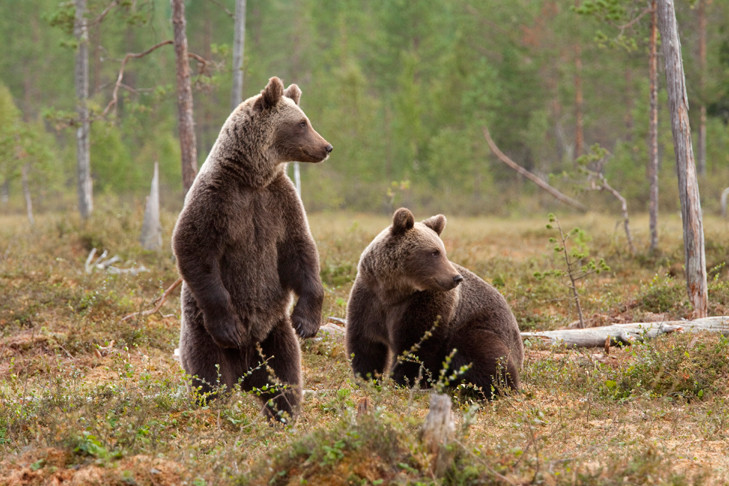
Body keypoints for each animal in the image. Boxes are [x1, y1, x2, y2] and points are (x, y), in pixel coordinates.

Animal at [172, 76, 332, 422]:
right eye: (302, 123)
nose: (327, 147)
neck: (252, 177)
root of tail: (247, 372)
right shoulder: (217, 199)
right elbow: (194, 248)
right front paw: (229, 325)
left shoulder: (279, 202)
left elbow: (300, 250)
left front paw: (307, 321)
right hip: (202, 334)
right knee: (211, 379)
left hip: (275, 336)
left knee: (285, 380)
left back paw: (284, 415)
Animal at [346, 207, 524, 396]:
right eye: (434, 252)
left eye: (442, 251)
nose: (456, 278)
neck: (393, 291)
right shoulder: (369, 299)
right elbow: (366, 345)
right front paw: (368, 380)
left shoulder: (424, 304)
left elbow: (416, 345)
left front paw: (403, 382)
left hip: (481, 326)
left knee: (481, 353)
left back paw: (497, 387)